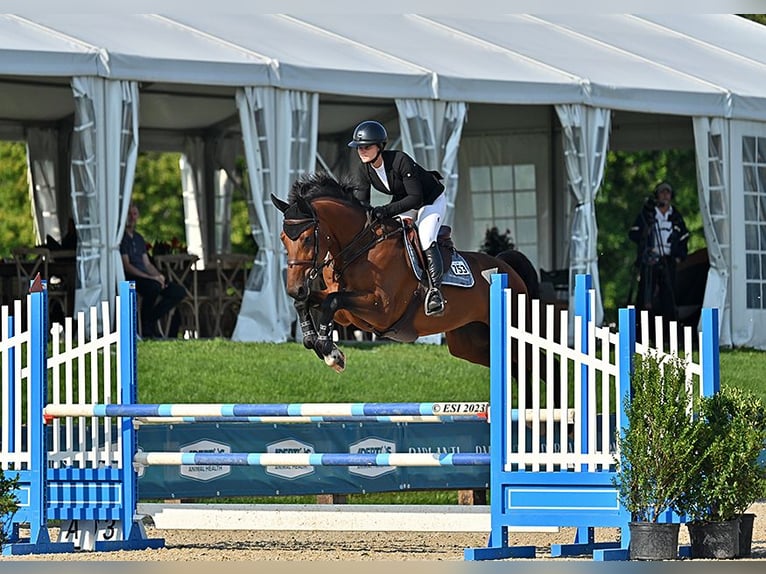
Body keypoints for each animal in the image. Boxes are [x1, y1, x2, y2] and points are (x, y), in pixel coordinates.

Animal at [272, 172, 548, 388]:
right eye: (283, 238)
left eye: (307, 238)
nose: (294, 288)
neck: (359, 248)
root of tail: (507, 267)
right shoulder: (347, 316)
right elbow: (313, 302)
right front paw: (313, 340)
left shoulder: (381, 309)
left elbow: (332, 301)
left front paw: (332, 354)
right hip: (471, 343)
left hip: (515, 333)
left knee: (541, 363)